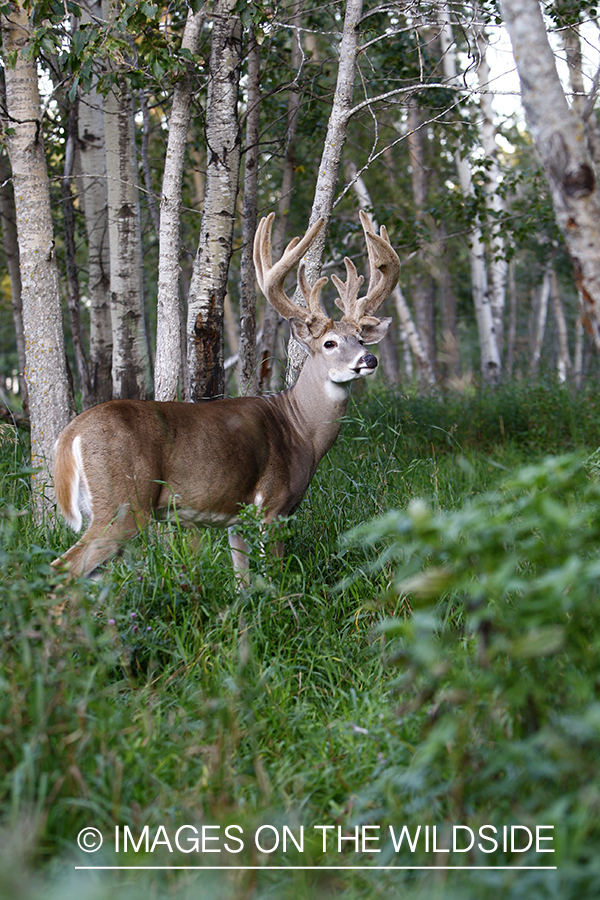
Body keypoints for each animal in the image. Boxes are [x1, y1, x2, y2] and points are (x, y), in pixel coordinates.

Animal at [51, 209, 398, 576]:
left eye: (360, 338)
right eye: (329, 343)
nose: (369, 359)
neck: (301, 428)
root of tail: (70, 435)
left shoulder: (237, 519)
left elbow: (242, 577)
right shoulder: (273, 505)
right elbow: (273, 575)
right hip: (123, 503)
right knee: (65, 568)